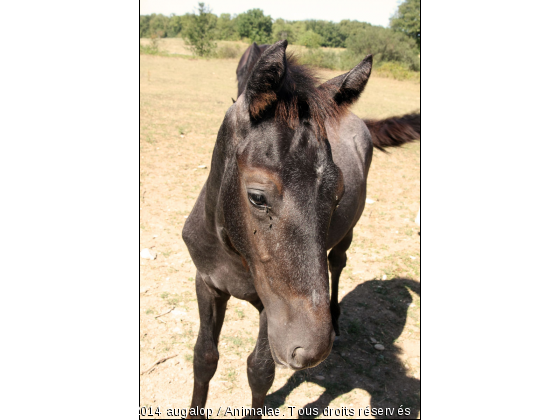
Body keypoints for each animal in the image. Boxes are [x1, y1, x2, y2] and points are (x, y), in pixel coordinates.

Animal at [183, 40, 420, 416]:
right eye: (257, 196)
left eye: (337, 194)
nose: (311, 349)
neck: (231, 251)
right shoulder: (207, 283)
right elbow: (204, 358)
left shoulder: (270, 307)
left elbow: (259, 372)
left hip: (347, 235)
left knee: (337, 263)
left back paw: (335, 317)